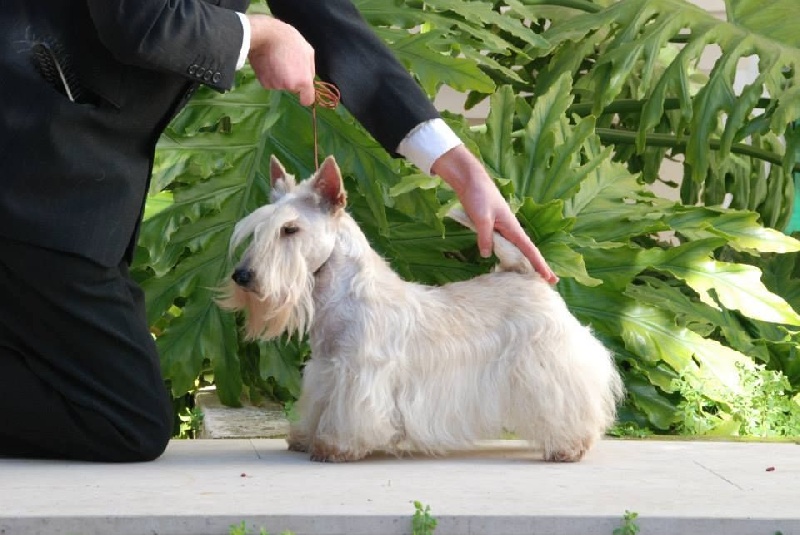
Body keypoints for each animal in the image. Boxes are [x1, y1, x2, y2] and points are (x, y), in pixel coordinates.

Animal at [220, 155, 624, 463]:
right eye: (257, 230)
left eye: (290, 229)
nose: (242, 275)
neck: (340, 293)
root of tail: (525, 273)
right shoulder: (325, 369)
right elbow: (317, 403)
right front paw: (304, 437)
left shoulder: (360, 373)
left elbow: (349, 416)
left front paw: (333, 446)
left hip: (548, 362)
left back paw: (569, 447)